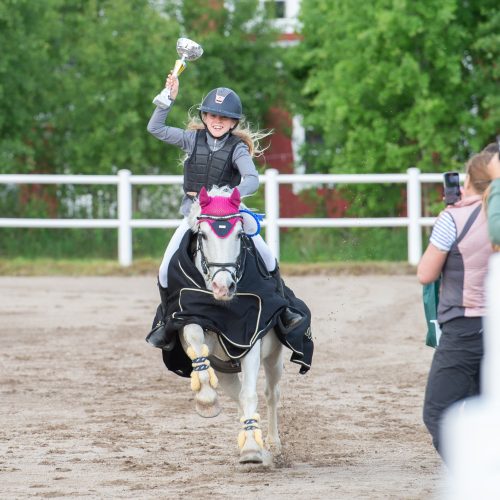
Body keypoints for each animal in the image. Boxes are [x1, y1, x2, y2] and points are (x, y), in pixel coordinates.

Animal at [180, 186, 284, 462]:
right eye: (203, 235)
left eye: (239, 234)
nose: (223, 286)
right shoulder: (190, 321)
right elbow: (195, 338)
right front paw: (206, 401)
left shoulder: (250, 339)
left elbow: (251, 394)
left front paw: (251, 451)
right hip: (225, 370)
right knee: (236, 396)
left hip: (274, 358)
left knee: (270, 394)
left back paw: (272, 444)